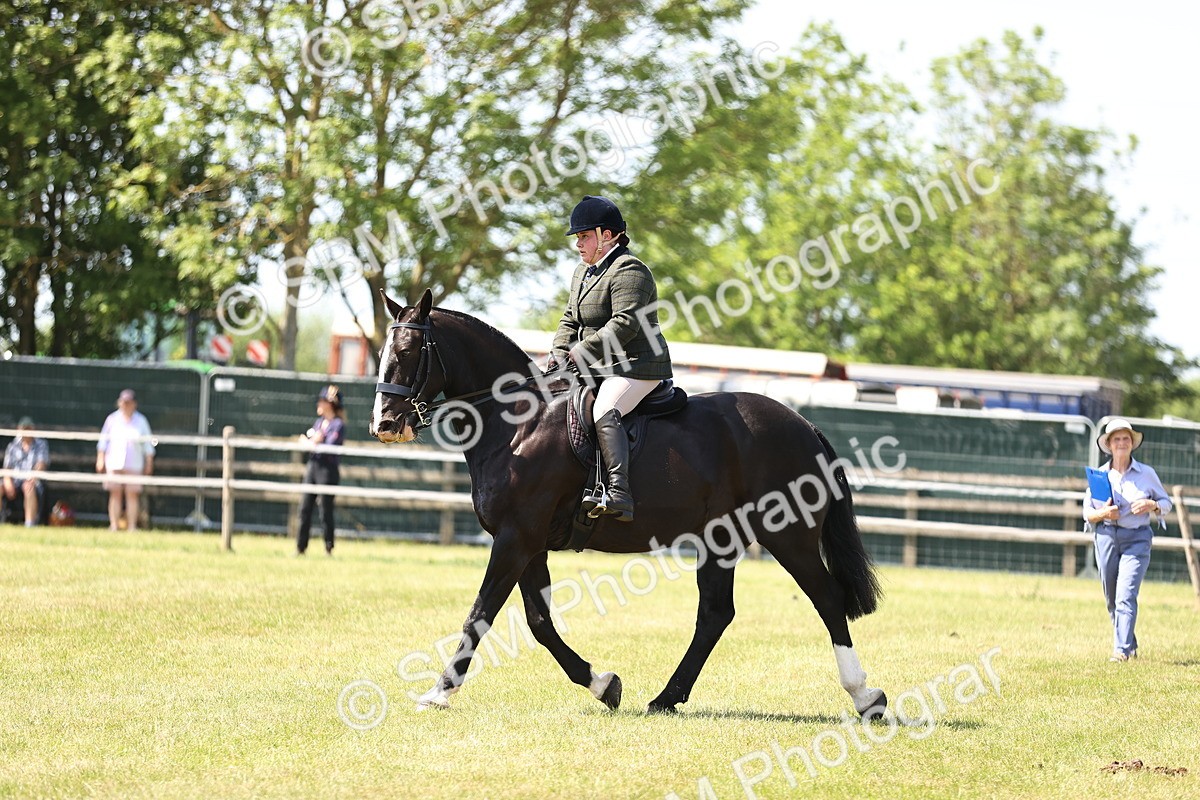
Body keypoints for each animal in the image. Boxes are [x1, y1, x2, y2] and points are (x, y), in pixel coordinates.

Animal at [369, 289, 887, 717]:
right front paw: (604, 685)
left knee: (826, 598)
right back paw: (665, 698)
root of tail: (803, 425)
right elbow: (539, 622)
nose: (385, 424)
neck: (518, 423)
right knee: (715, 614)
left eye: (408, 353)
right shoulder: (528, 544)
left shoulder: (515, 540)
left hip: (787, 534)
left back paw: (865, 696)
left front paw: (439, 691)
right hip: (720, 537)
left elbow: (480, 615)